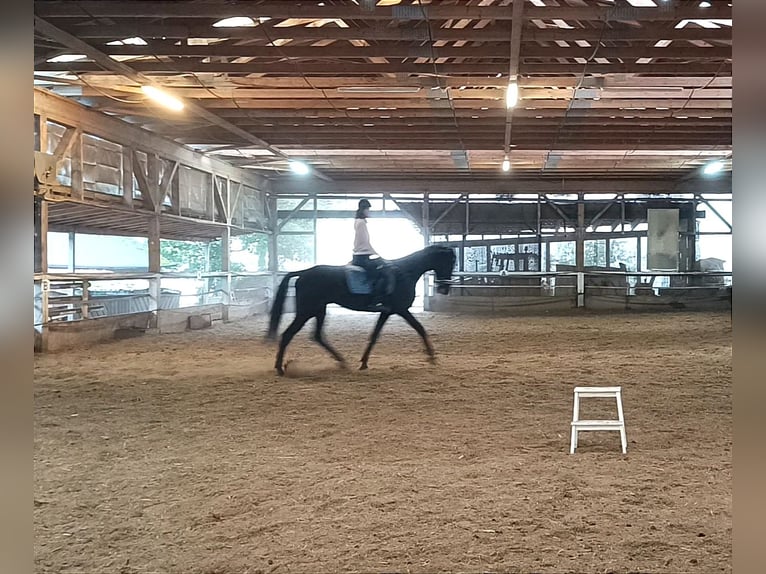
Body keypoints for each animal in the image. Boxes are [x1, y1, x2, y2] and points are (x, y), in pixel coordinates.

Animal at [268, 244, 456, 376]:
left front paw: (364, 362)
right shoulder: (401, 309)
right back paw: (279, 368)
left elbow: (374, 335)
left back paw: (342, 361)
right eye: (450, 262)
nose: (444, 289)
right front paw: (432, 357)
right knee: (288, 334)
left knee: (317, 336)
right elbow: (420, 328)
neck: (405, 272)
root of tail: (304, 273)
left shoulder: (387, 312)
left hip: (318, 310)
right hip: (306, 311)